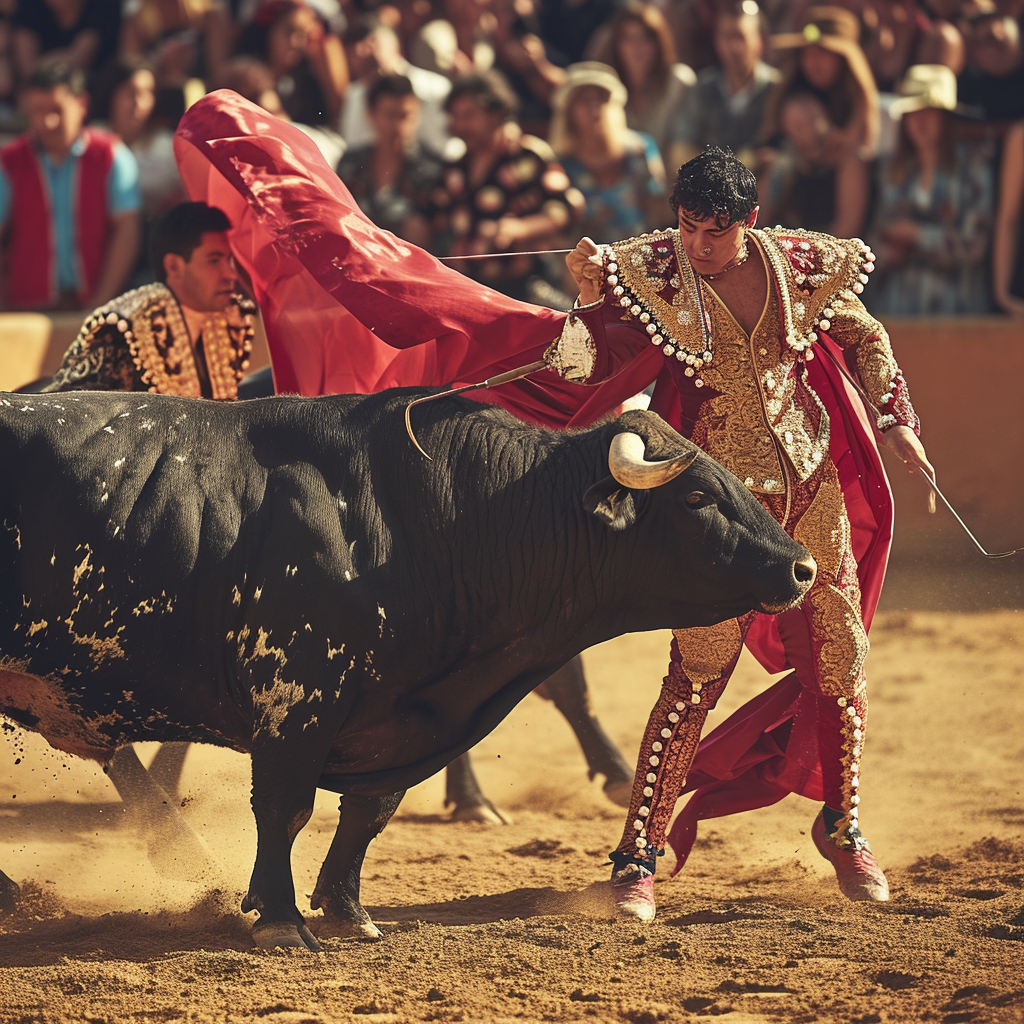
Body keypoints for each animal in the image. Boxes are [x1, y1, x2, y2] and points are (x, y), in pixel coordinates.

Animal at [0, 387, 815, 946]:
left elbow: (371, 810)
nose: (803, 567)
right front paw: (281, 919)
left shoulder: (394, 713)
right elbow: (286, 809)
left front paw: (347, 909)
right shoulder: (296, 701)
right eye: (698, 495)